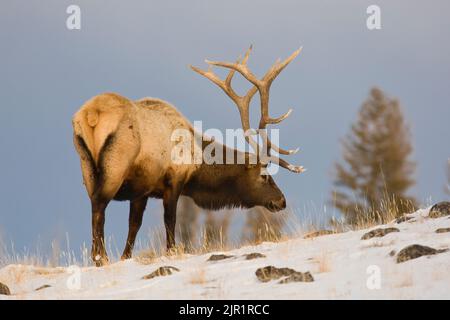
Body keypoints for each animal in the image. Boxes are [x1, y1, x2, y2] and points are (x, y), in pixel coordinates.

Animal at [73, 46, 306, 266]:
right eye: (264, 175)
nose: (281, 201)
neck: (198, 163)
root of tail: (91, 115)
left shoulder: (142, 188)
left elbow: (134, 225)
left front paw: (125, 257)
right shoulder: (174, 179)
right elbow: (170, 220)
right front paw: (172, 251)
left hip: (86, 165)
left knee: (94, 204)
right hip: (116, 165)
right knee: (99, 205)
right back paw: (100, 257)